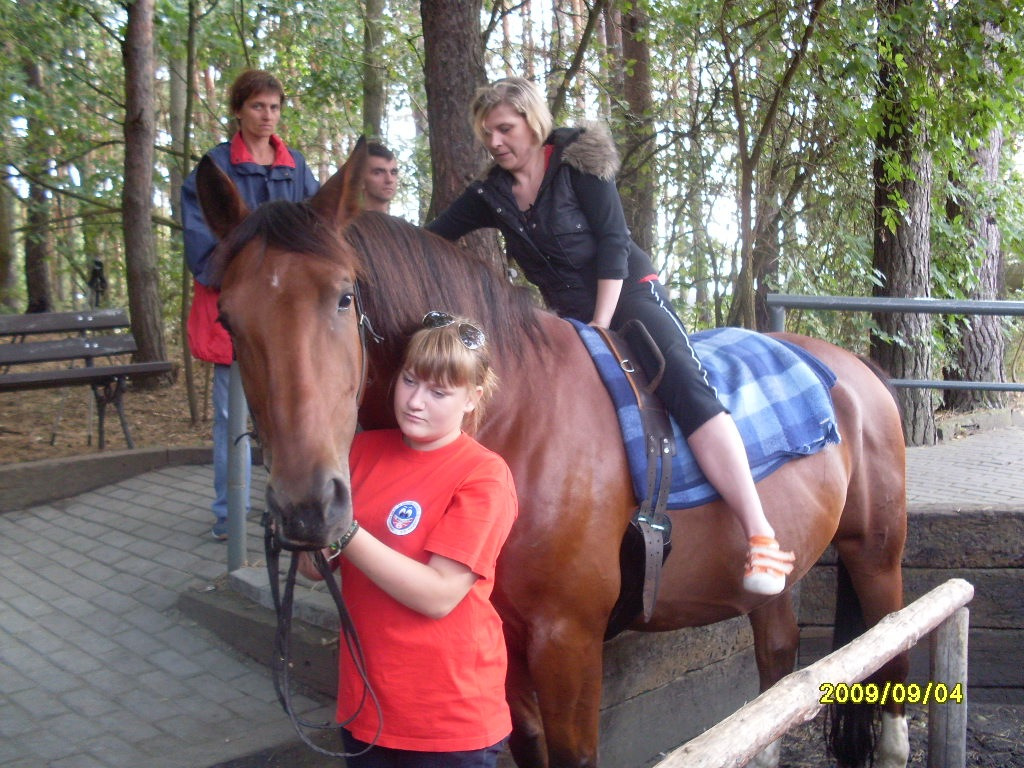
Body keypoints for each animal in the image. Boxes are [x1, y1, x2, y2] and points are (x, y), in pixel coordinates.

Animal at [194, 144, 910, 768]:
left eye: (344, 296)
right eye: (228, 318)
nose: (308, 508)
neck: (515, 419)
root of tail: (857, 371)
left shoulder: (567, 640)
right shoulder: (504, 636)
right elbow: (526, 743)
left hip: (876, 555)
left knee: (894, 655)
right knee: (777, 667)